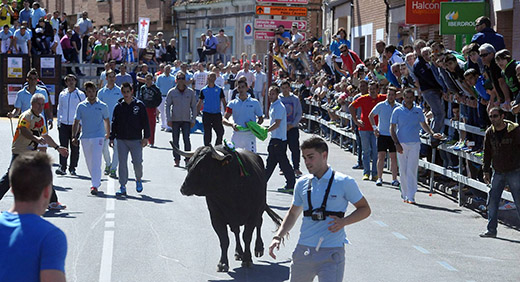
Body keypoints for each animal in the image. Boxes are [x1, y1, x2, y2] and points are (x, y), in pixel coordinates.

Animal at [172, 142, 284, 272]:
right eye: (189, 165)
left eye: (203, 167)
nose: (183, 188)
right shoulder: (216, 217)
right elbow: (224, 240)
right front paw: (223, 263)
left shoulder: (253, 214)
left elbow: (247, 236)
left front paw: (247, 259)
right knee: (236, 231)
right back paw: (238, 252)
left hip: (260, 208)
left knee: (259, 224)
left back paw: (258, 248)